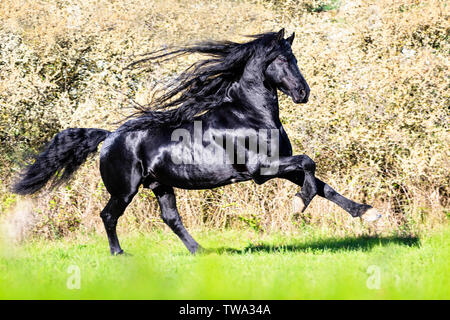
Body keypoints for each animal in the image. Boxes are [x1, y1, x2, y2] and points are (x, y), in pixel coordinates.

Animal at [12, 30, 382, 255]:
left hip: (160, 185)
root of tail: (108, 138)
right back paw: (119, 254)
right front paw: (297, 205)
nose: (303, 93)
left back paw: (199, 251)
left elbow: (321, 184)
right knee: (108, 215)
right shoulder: (261, 170)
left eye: (295, 59)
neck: (250, 115)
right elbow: (309, 165)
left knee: (171, 219)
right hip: (125, 189)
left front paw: (367, 213)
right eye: (281, 59)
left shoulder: (281, 166)